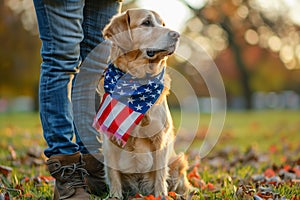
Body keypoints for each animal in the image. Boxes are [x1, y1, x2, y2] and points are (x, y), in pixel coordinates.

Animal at [96, 9, 190, 198]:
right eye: (146, 23)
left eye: (162, 24)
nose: (177, 35)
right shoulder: (109, 140)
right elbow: (113, 173)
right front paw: (115, 196)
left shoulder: (161, 138)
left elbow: (160, 174)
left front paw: (161, 196)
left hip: (178, 160)